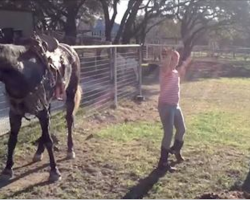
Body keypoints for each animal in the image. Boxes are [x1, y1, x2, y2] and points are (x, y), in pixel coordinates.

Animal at [0, 34, 81, 181]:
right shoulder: (15, 113)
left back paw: (70, 150)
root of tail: (71, 49)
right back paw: (38, 153)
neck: (20, 71)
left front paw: (54, 171)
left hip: (71, 93)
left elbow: (49, 141)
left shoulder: (41, 111)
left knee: (69, 119)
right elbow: (12, 140)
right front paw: (8, 169)